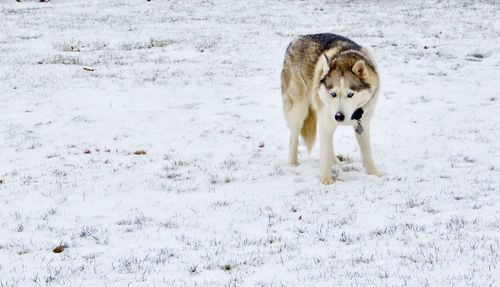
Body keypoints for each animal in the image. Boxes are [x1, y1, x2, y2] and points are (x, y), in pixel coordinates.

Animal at [282, 33, 382, 184]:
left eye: (350, 94)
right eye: (333, 94)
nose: (339, 116)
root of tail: (296, 39)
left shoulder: (362, 124)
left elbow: (367, 153)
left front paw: (375, 173)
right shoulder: (326, 122)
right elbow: (324, 155)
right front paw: (326, 181)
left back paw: (335, 161)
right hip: (300, 111)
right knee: (293, 137)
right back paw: (292, 163)